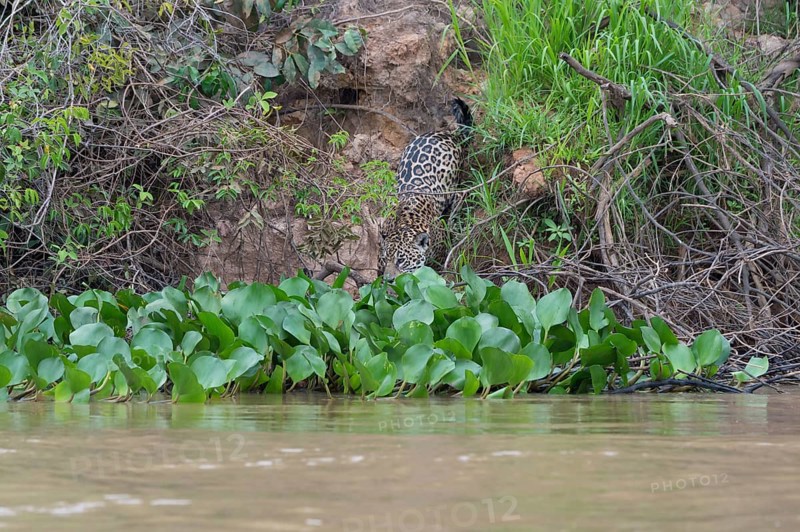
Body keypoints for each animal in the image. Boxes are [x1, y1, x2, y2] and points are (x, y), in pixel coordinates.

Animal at [378, 97, 473, 280]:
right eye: (386, 259)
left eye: (401, 260)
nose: (389, 280)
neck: (403, 223)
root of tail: (448, 134)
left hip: (453, 188)